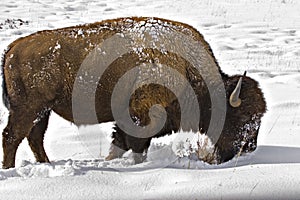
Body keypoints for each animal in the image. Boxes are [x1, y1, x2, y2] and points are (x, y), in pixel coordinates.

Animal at [1, 16, 266, 169]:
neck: (188, 70)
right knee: (11, 136)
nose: (250, 148)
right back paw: (9, 169)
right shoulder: (142, 116)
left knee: (34, 138)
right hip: (28, 109)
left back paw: (45, 165)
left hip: (42, 111)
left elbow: (119, 142)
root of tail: (13, 47)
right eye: (243, 116)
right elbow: (137, 146)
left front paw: (109, 162)